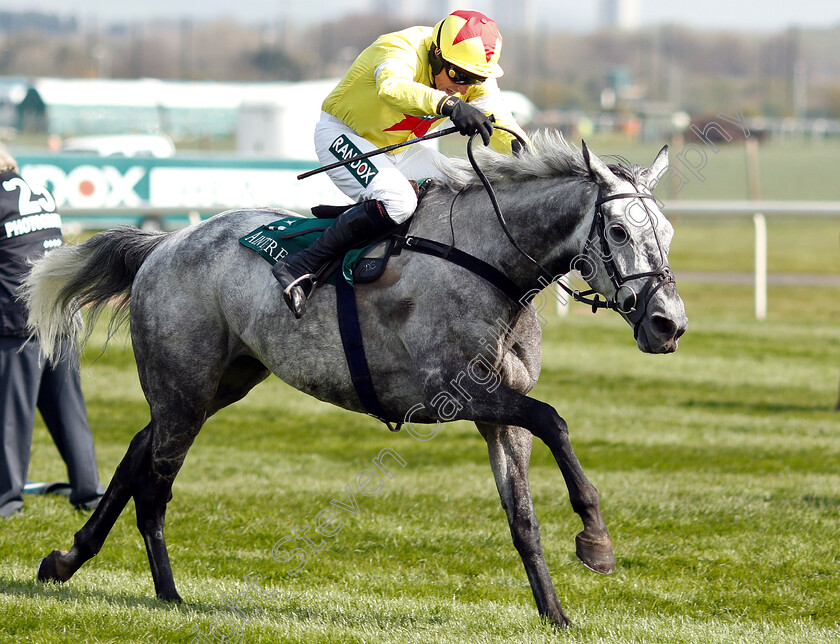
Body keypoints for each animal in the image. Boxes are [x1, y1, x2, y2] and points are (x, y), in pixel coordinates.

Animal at [21, 133, 688, 628]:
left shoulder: (499, 415)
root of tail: (164, 242)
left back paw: (67, 560)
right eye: (620, 231)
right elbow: (555, 418)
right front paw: (595, 537)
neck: (487, 261)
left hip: (219, 384)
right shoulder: (458, 394)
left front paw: (555, 613)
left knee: (139, 450)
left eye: (667, 233)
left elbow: (523, 515)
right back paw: (166, 593)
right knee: (155, 483)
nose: (669, 323)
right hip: (185, 386)